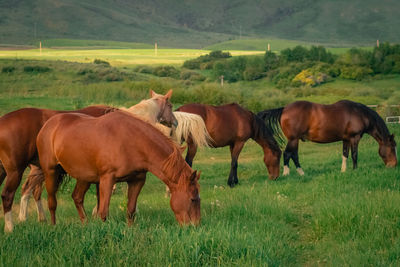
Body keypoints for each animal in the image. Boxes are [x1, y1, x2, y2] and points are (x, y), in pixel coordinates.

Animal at [0, 89, 177, 232]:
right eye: (170, 105)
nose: (174, 123)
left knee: (31, 191)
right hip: (18, 171)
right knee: (13, 193)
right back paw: (12, 226)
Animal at [36, 111, 202, 226]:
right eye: (193, 199)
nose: (194, 226)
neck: (132, 142)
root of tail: (48, 125)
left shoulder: (137, 181)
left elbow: (131, 211)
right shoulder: (107, 180)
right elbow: (103, 212)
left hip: (84, 177)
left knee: (77, 197)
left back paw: (85, 224)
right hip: (51, 172)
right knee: (52, 202)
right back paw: (53, 226)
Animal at [258, 99, 398, 177]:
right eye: (392, 148)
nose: (394, 165)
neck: (359, 114)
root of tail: (284, 109)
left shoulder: (346, 139)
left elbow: (345, 154)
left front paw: (343, 171)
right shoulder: (355, 138)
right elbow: (354, 155)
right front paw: (355, 170)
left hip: (295, 140)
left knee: (293, 155)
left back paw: (301, 173)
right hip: (293, 139)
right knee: (288, 154)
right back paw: (288, 173)